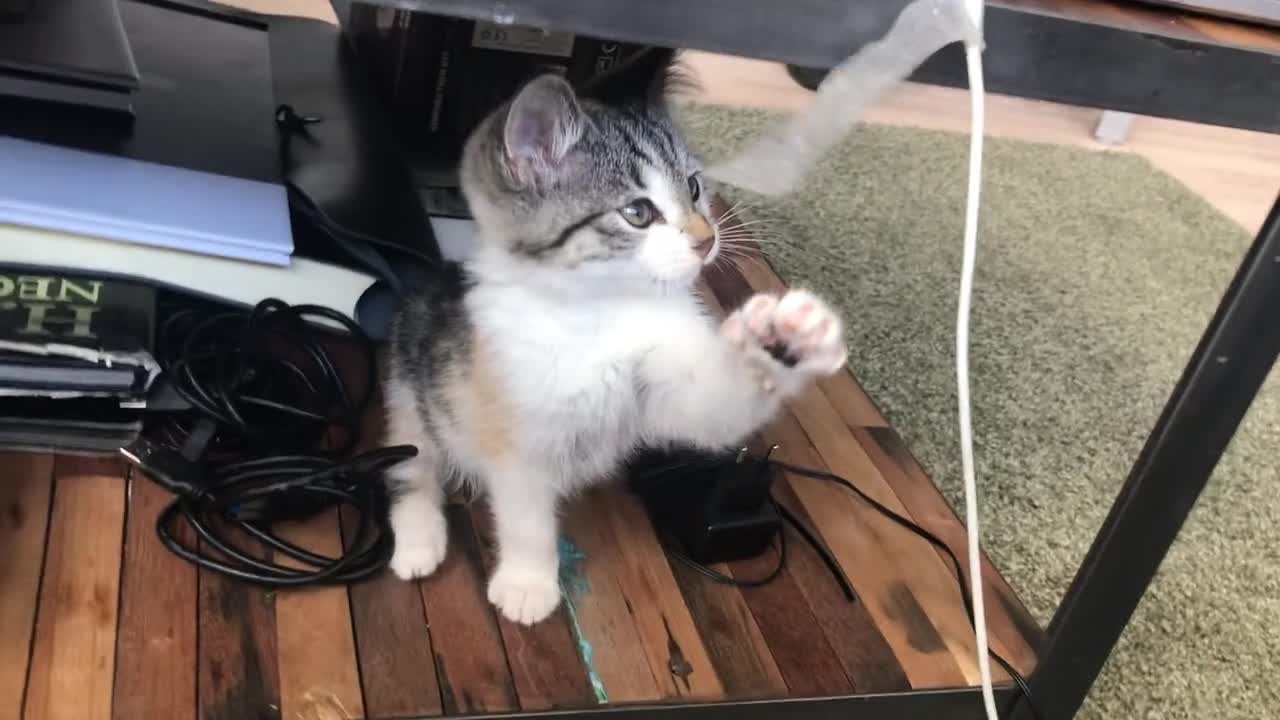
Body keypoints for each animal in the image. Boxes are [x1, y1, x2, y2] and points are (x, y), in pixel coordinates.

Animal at [384, 50, 855, 622]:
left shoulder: (665, 386)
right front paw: (527, 582)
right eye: (638, 213)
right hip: (410, 387)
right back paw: (418, 541)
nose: (706, 240)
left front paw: (781, 340)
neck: (600, 309)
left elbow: (712, 413)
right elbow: (524, 515)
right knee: (411, 465)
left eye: (693, 187)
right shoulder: (513, 430)